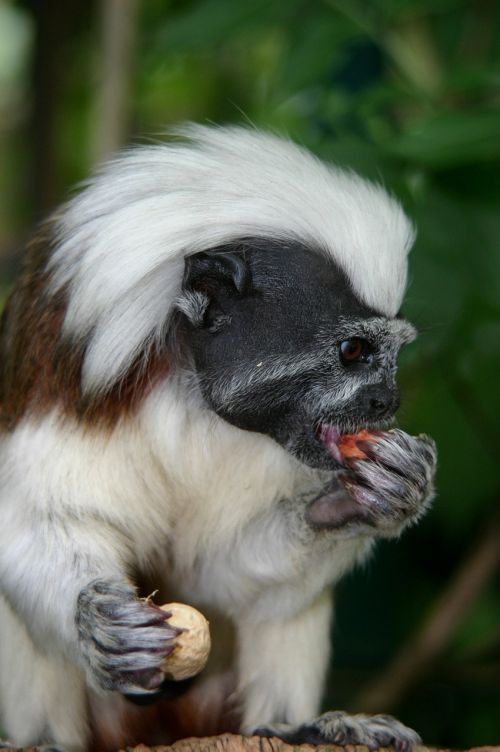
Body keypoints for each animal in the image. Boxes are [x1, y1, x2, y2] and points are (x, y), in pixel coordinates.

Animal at [0, 125, 436, 752]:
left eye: (394, 357)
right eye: (353, 351)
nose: (388, 401)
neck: (190, 388)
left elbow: (220, 577)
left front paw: (366, 498)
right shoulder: (62, 382)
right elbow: (32, 525)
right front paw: (98, 624)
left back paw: (292, 724)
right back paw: (46, 739)